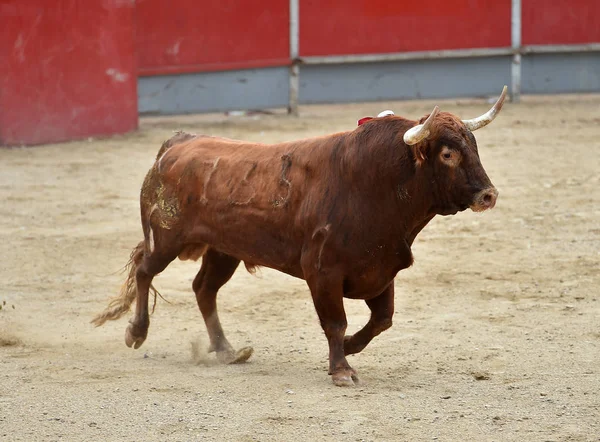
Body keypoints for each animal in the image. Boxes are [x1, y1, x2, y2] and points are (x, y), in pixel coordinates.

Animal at [94, 86, 506, 386]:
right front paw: (341, 370)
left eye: (474, 146)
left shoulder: (382, 268)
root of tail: (178, 142)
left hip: (224, 250)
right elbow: (335, 321)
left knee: (204, 289)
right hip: (166, 239)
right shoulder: (322, 272)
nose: (489, 195)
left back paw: (226, 350)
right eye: (448, 154)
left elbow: (382, 320)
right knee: (146, 271)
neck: (378, 184)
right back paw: (136, 332)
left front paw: (351, 349)